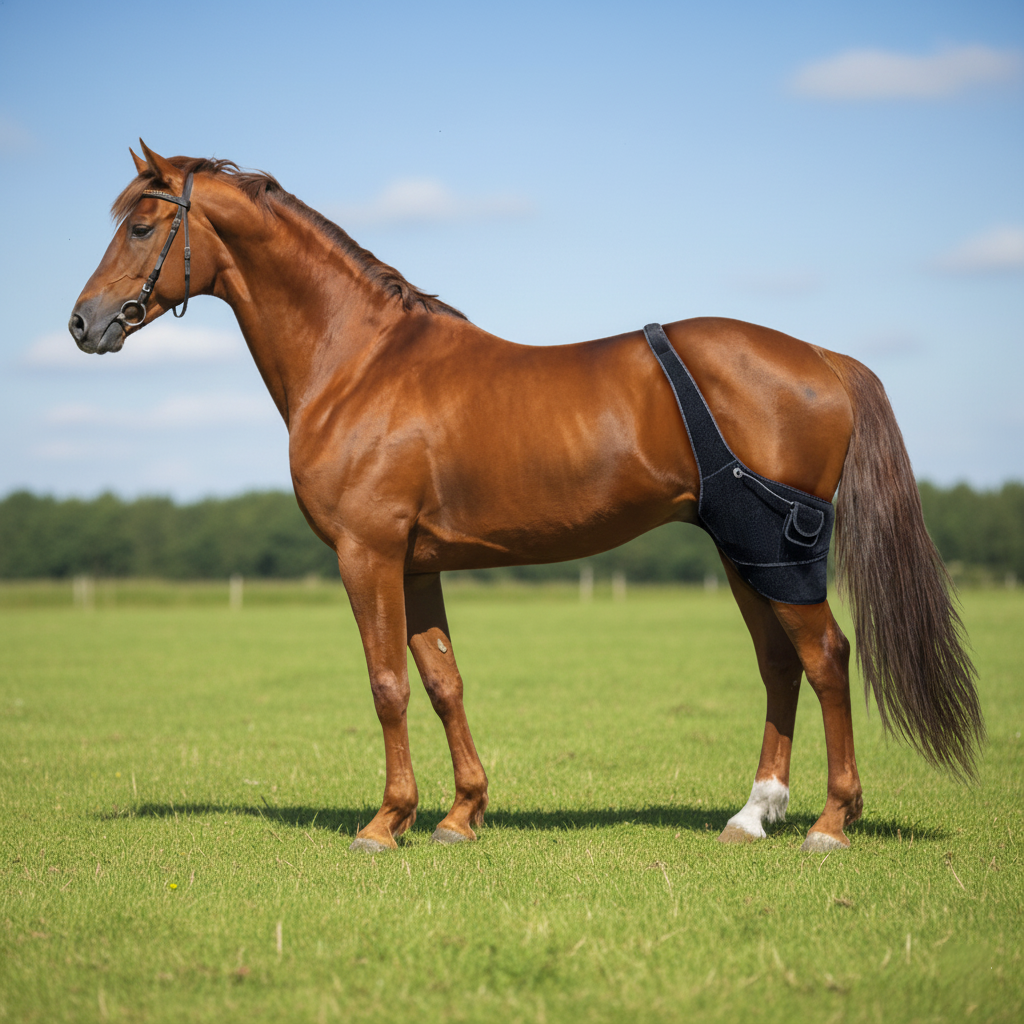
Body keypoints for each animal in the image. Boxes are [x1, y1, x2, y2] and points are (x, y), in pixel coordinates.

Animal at [69, 143, 984, 854]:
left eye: (142, 225)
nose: (83, 324)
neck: (361, 363)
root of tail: (823, 357)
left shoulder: (368, 553)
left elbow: (387, 683)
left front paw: (385, 824)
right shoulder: (416, 564)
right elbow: (442, 680)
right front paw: (460, 815)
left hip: (775, 550)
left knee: (825, 657)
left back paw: (830, 822)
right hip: (741, 553)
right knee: (779, 663)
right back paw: (753, 814)